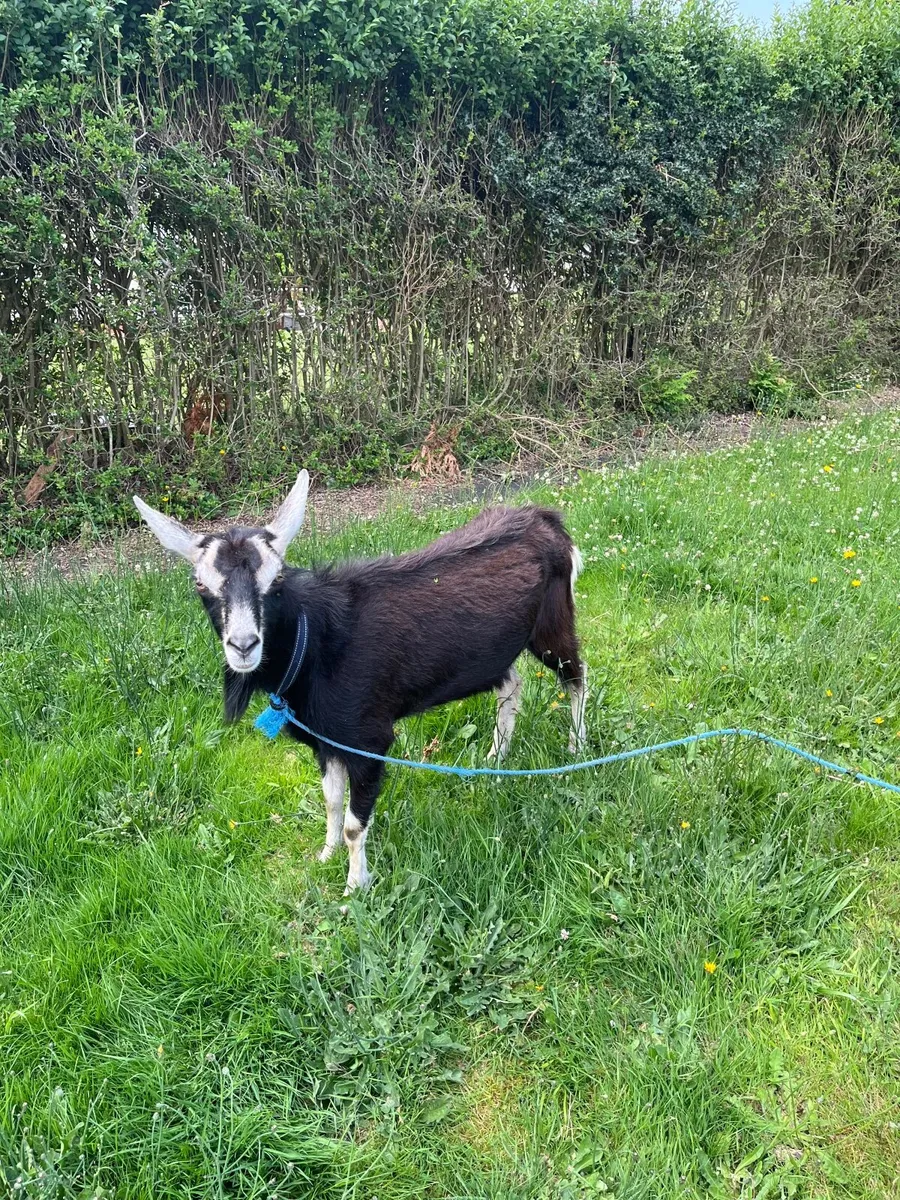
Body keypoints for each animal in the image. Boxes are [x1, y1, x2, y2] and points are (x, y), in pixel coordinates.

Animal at [134, 471, 588, 894]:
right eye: (200, 584)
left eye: (277, 579)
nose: (243, 645)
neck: (316, 643)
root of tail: (547, 521)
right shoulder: (327, 741)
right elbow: (332, 802)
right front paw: (326, 854)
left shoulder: (368, 740)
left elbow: (355, 822)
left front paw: (355, 887)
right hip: (496, 652)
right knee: (511, 684)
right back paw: (495, 756)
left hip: (554, 624)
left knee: (577, 678)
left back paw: (577, 748)